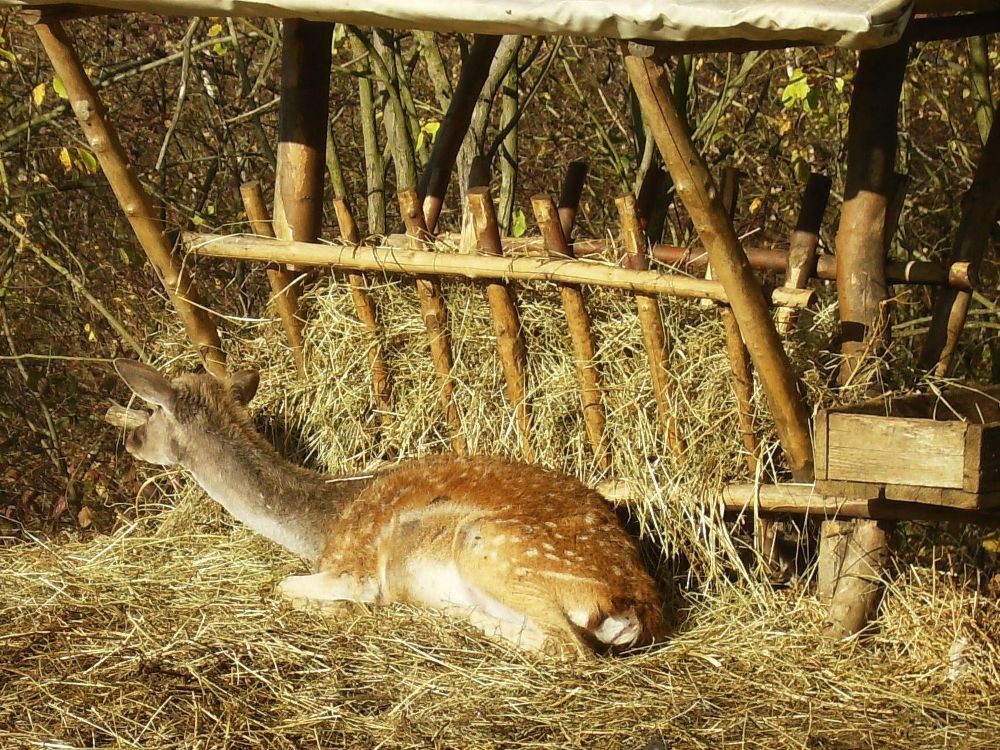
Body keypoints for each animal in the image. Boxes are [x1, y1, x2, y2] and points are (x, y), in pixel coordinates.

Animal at [113, 362, 668, 656]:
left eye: (149, 409)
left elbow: (284, 586)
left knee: (567, 646)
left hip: (492, 546)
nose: (132, 442)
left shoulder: (354, 566)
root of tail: (638, 604)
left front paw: (343, 608)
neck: (321, 525)